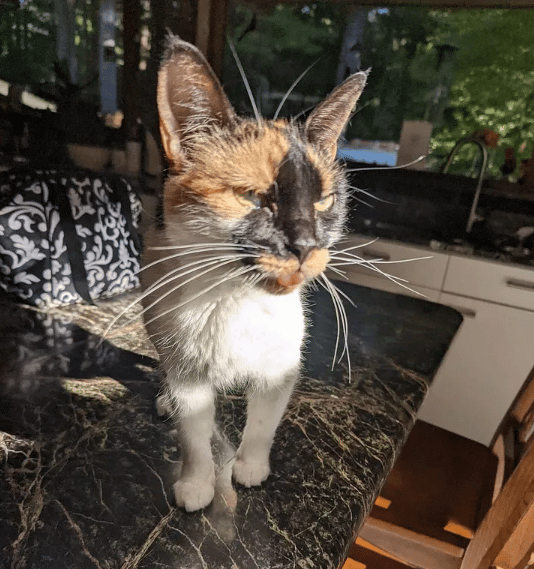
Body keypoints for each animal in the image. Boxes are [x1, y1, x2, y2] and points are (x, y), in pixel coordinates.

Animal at [141, 37, 368, 512]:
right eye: (251, 196)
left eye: (323, 200)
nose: (304, 246)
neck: (235, 301)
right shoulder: (189, 370)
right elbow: (194, 435)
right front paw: (197, 487)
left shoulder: (281, 365)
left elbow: (264, 424)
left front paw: (249, 469)